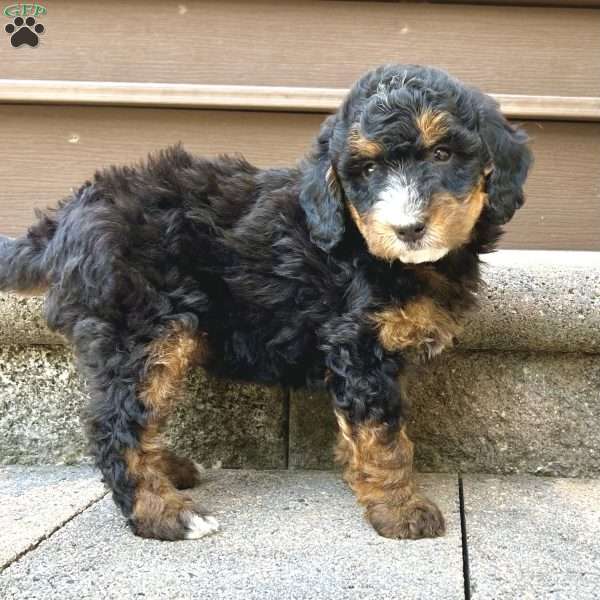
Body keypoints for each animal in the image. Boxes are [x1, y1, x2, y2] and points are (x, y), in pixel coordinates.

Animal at [2, 64, 532, 540]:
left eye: (443, 153)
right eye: (368, 169)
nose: (407, 229)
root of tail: (66, 216)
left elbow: (374, 431)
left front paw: (363, 478)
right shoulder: (358, 345)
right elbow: (382, 436)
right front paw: (401, 509)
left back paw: (168, 470)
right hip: (144, 329)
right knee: (116, 423)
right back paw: (163, 514)